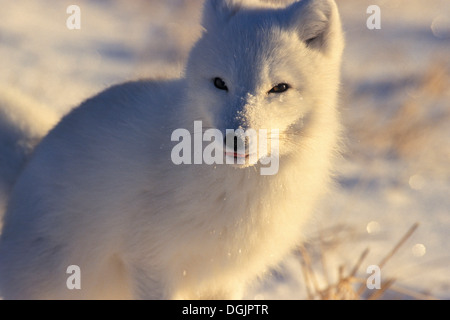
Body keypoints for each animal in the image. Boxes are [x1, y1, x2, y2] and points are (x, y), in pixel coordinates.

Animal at [0, 0, 342, 300]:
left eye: (279, 88)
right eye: (220, 83)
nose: (235, 139)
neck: (237, 187)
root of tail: (29, 161)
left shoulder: (225, 277)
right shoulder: (151, 260)